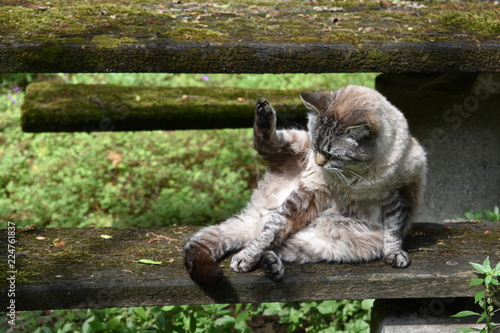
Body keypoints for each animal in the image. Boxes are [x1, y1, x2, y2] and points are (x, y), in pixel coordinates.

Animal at [184, 84, 426, 284]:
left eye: (332, 154)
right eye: (317, 146)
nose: (318, 162)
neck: (359, 176)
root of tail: (254, 217)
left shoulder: (399, 194)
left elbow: (393, 229)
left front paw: (394, 255)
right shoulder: (310, 189)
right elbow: (271, 231)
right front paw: (245, 259)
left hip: (314, 246)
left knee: (274, 246)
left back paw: (271, 266)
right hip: (295, 146)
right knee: (265, 152)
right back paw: (263, 111)